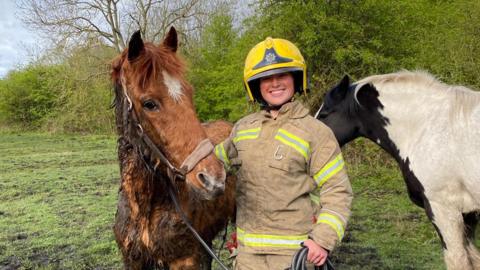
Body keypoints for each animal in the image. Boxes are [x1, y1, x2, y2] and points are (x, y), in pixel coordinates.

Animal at [109, 26, 236, 268]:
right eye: (149, 103)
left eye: (190, 92)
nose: (214, 179)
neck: (144, 209)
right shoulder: (133, 261)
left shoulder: (185, 260)